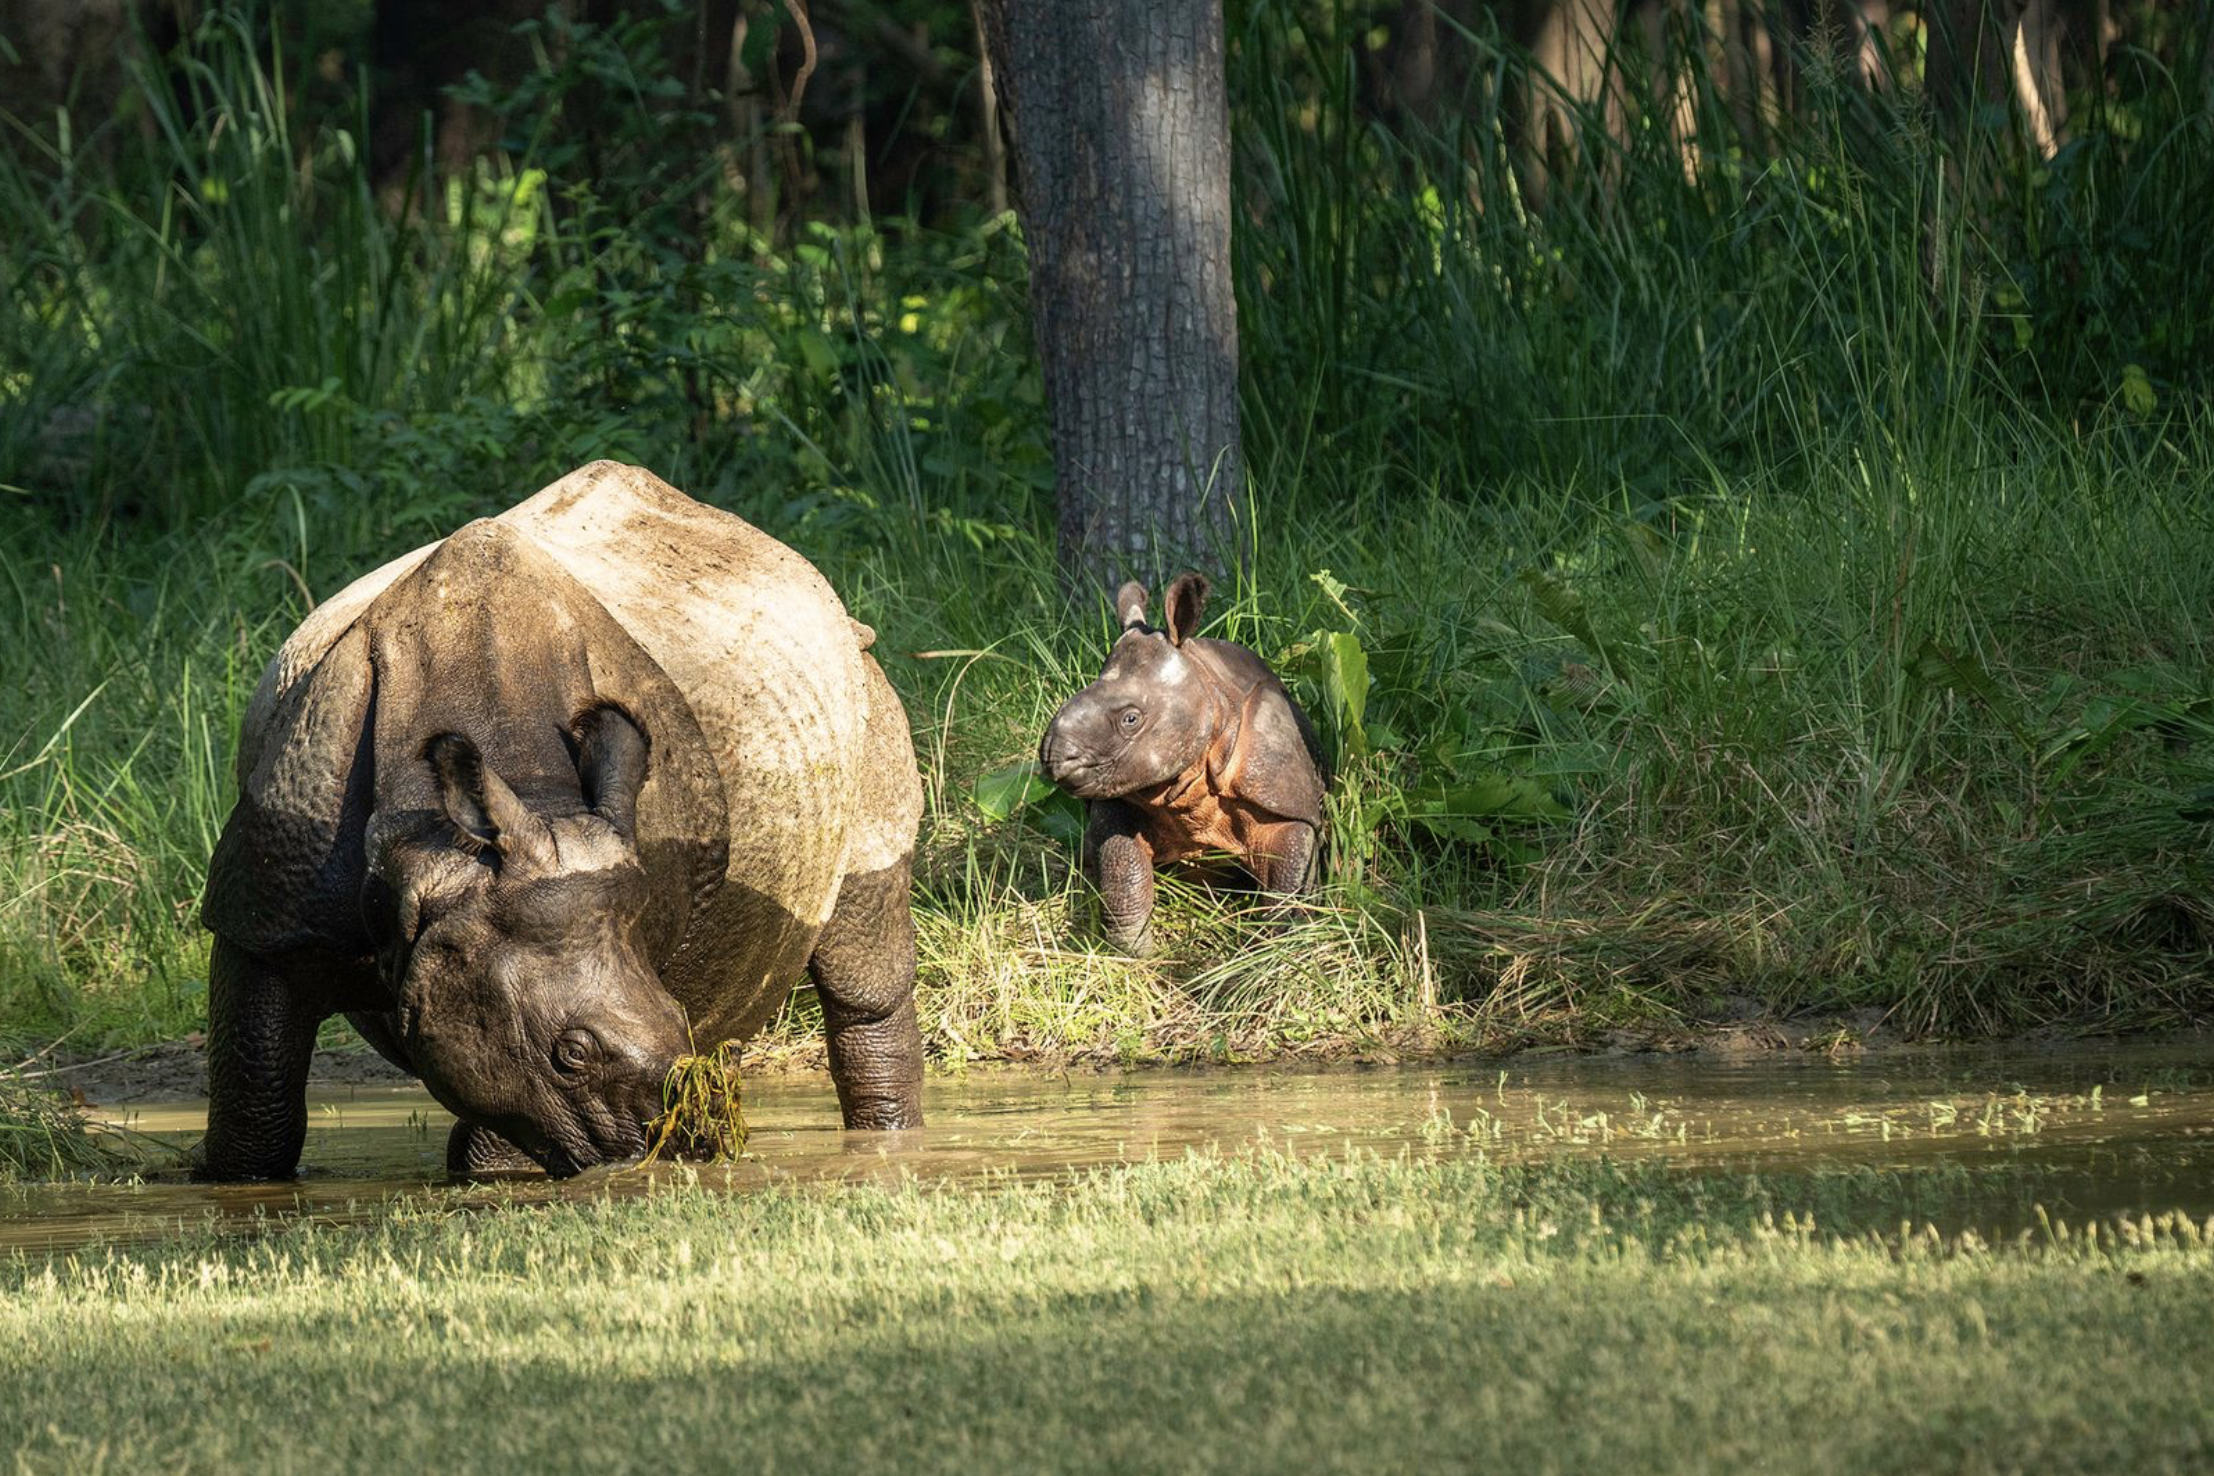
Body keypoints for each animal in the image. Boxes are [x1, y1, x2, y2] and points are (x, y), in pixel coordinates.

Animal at [196, 461, 923, 1180]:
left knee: (862, 959)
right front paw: (239, 1183)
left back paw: (887, 1142)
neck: (433, 846)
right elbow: (256, 1104)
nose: (662, 1157)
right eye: (572, 1054)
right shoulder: (266, 919)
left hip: (866, 685)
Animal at [1037, 573, 1328, 955]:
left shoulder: (1278, 789)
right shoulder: (1120, 792)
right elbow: (1123, 873)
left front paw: (1275, 949)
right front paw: (1135, 954)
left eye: (1130, 719)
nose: (1054, 758)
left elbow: (1287, 877)